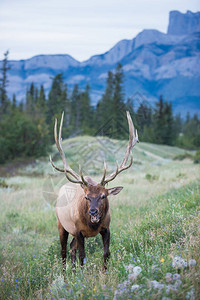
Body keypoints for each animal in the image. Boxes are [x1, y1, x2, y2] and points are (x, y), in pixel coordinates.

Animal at [49, 112, 139, 272]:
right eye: (86, 197)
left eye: (103, 196)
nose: (93, 212)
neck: (92, 226)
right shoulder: (79, 231)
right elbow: (82, 257)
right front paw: (83, 276)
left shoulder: (106, 228)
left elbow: (106, 253)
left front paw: (104, 272)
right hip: (61, 225)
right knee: (64, 252)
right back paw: (65, 276)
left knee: (71, 248)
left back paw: (73, 272)